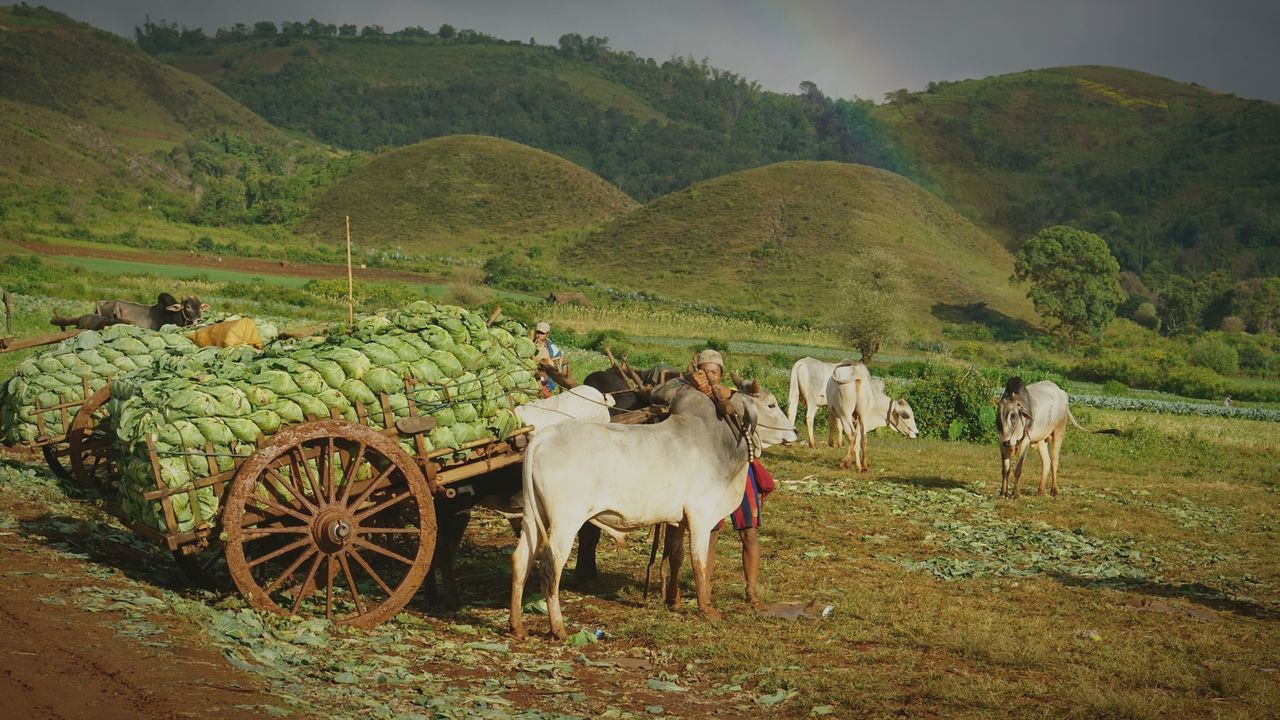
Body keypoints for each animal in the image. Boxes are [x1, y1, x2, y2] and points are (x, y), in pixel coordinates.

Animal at [506, 379, 788, 635]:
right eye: (772, 405)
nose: (793, 432)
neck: (719, 439)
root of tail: (541, 438)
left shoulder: (678, 519)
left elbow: (676, 556)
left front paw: (673, 601)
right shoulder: (701, 515)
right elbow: (699, 561)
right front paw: (706, 609)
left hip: (533, 515)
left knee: (521, 560)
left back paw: (517, 625)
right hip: (565, 521)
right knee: (551, 567)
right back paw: (558, 628)